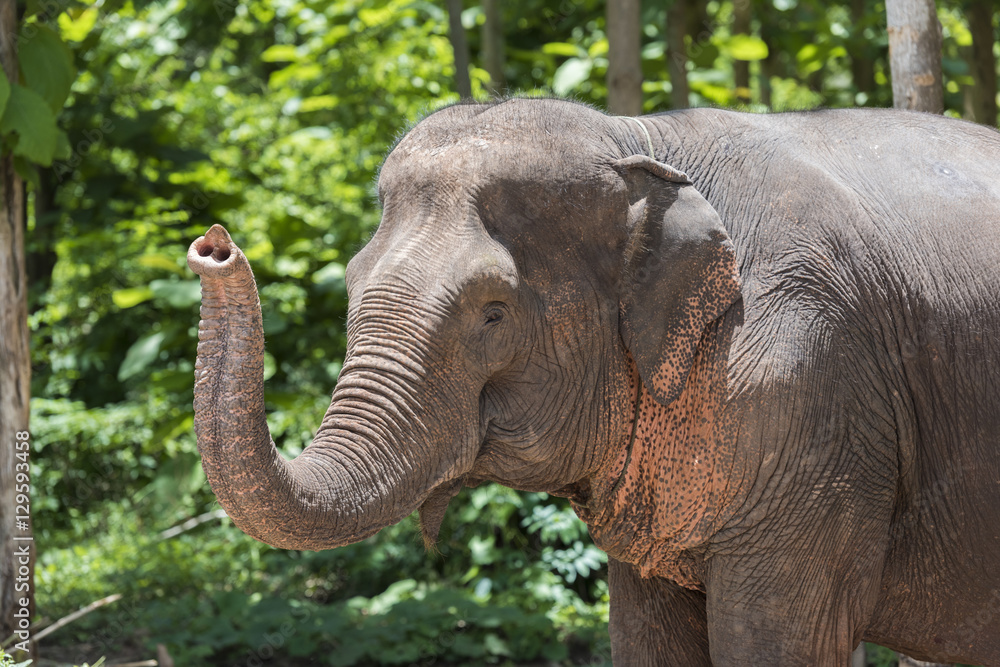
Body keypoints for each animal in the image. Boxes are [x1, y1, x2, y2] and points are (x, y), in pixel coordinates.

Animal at [187, 98, 1000, 666]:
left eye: (493, 312)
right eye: (353, 283)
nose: (213, 244)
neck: (638, 141)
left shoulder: (809, 388)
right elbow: (646, 636)